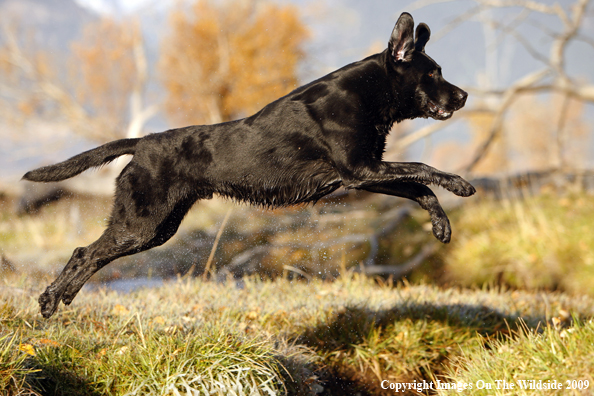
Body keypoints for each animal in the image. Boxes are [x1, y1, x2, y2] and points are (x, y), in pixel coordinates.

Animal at [25, 11, 474, 318]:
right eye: (433, 73)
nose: (465, 96)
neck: (368, 90)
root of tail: (143, 143)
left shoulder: (364, 174)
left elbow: (420, 188)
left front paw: (441, 226)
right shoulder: (360, 170)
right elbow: (425, 168)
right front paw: (461, 184)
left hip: (155, 228)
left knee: (91, 254)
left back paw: (63, 297)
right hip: (140, 224)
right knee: (84, 252)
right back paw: (49, 300)